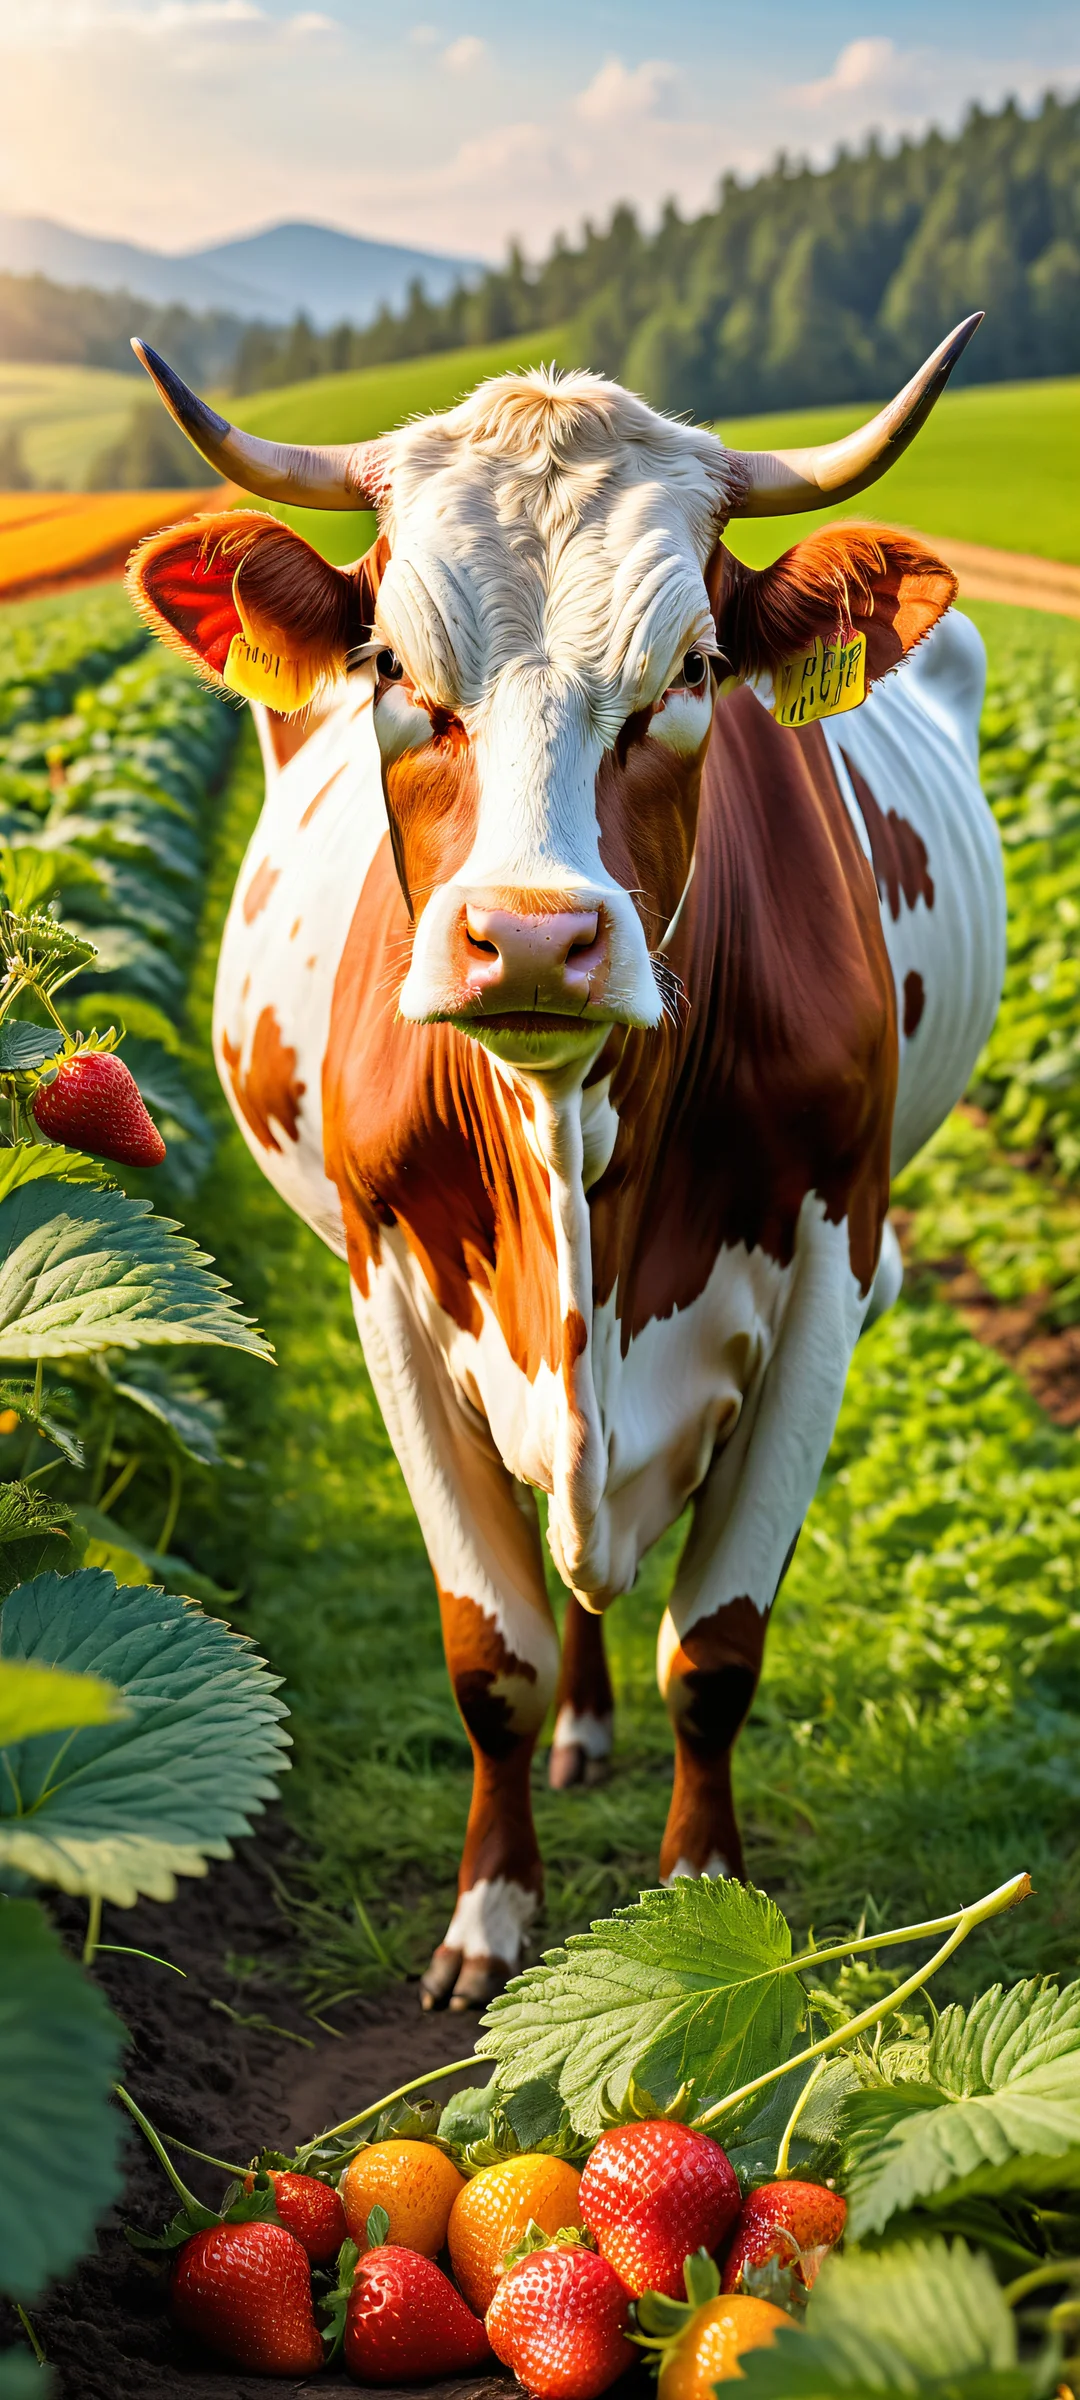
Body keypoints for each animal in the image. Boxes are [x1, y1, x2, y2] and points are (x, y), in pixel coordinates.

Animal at [128, 318, 1005, 2011]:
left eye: (694, 672)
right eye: (395, 670)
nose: (531, 936)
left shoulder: (827, 1275)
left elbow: (714, 1649)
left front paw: (701, 1911)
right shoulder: (389, 1295)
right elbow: (496, 1654)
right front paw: (489, 1918)